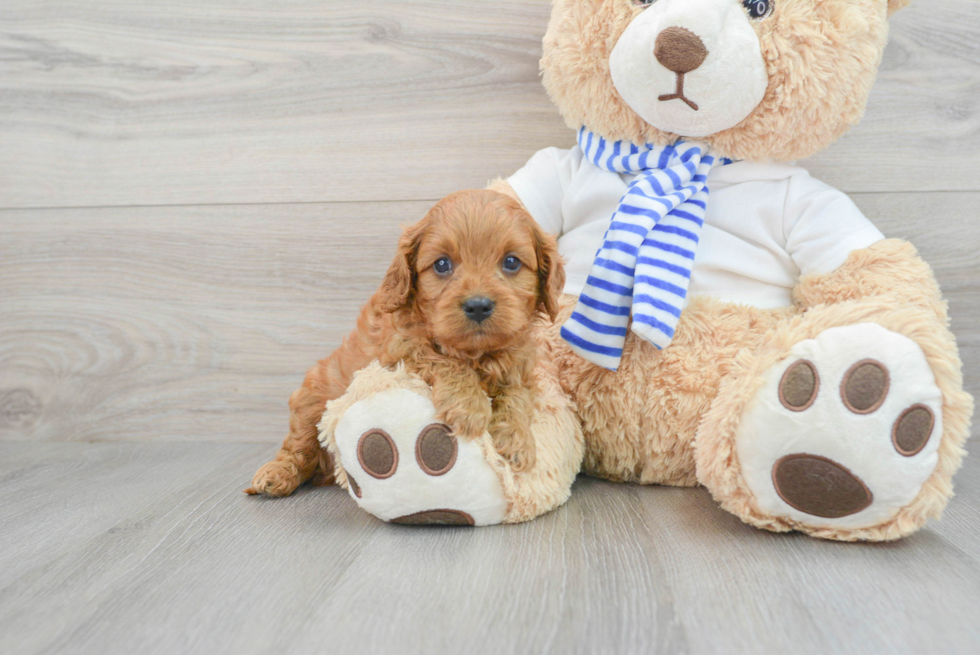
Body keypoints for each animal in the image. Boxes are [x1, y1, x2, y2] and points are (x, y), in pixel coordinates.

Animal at [247, 190, 568, 498]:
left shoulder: (520, 366)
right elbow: (442, 361)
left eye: (511, 262)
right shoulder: (398, 350)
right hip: (311, 397)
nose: (478, 306)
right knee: (298, 447)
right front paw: (470, 407)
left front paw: (517, 441)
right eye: (442, 264)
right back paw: (275, 475)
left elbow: (517, 395)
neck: (475, 353)